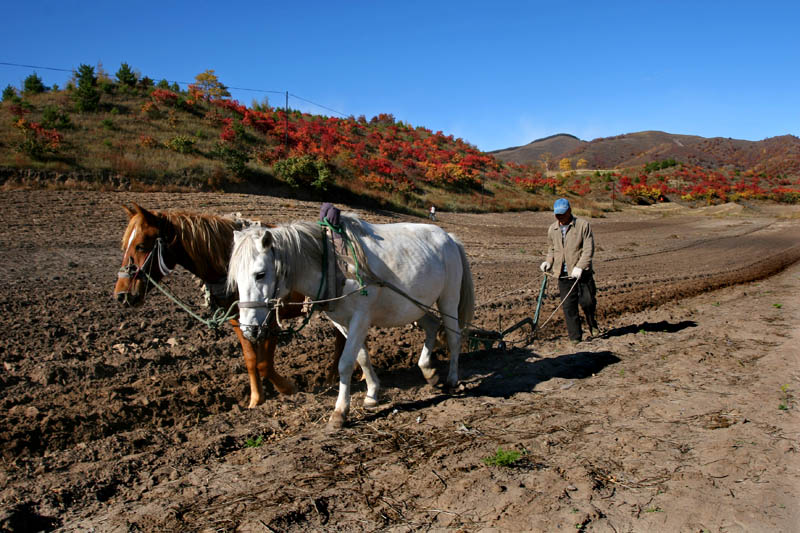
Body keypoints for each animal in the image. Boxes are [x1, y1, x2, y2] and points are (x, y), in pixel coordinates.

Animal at [112, 204, 344, 408]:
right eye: (124, 245)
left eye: (141, 245)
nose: (122, 295)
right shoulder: (238, 319)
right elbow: (251, 359)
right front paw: (256, 399)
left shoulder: (270, 319)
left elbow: (264, 364)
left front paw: (287, 388)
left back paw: (334, 377)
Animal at [227, 214, 476, 430]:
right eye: (236, 277)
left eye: (260, 274)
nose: (249, 329)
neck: (334, 266)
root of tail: (449, 237)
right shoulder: (342, 322)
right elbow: (362, 357)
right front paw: (372, 393)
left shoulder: (360, 318)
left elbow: (346, 363)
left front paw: (340, 412)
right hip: (415, 304)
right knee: (432, 326)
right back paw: (427, 370)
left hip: (448, 299)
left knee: (454, 336)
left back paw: (452, 379)